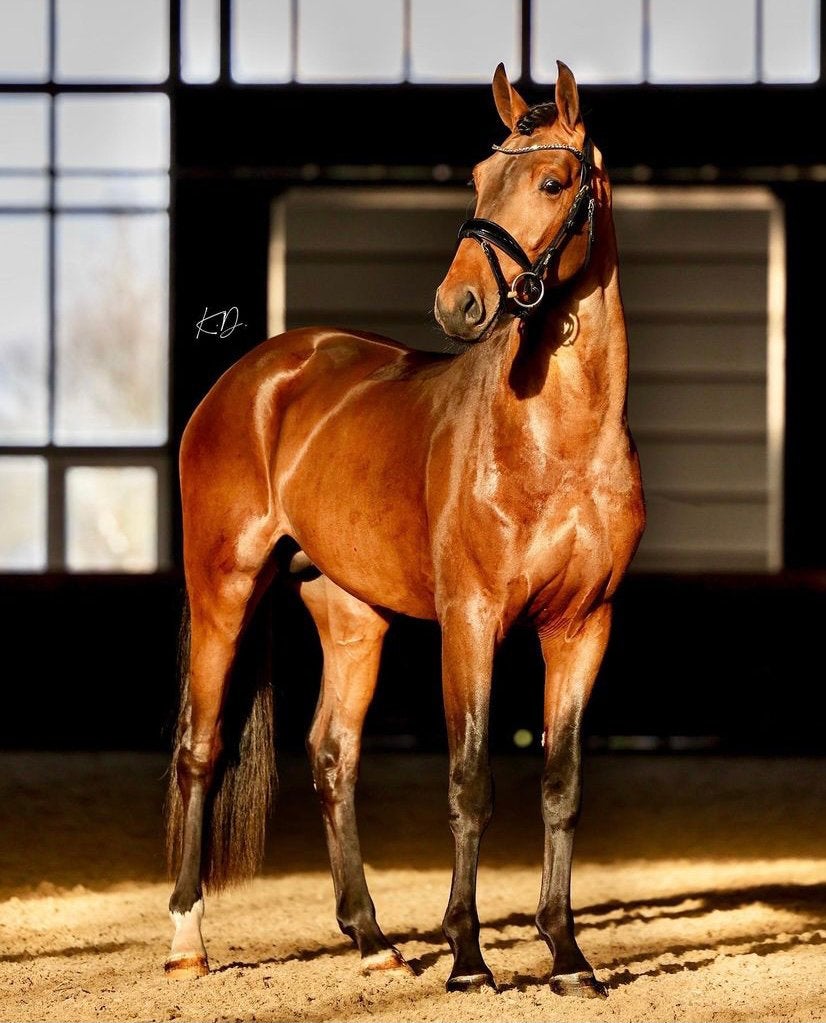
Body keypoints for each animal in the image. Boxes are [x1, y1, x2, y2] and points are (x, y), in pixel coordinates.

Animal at [164, 60, 645, 998]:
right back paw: (186, 942)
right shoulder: (471, 620)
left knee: (331, 755)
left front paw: (567, 955)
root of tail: (252, 377)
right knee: (200, 747)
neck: (559, 443)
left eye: (553, 181)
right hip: (223, 590)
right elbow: (469, 782)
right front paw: (467, 958)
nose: (460, 303)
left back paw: (371, 936)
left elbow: (560, 786)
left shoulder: (584, 627)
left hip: (352, 614)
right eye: (476, 176)